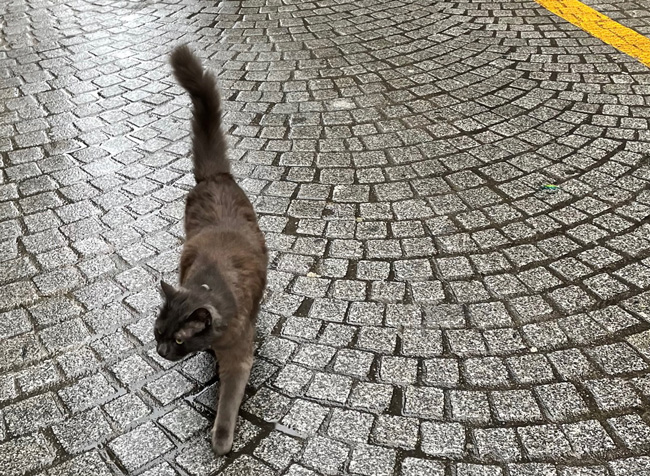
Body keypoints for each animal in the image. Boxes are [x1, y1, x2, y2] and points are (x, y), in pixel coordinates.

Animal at [153, 45, 268, 458]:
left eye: (179, 340)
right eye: (158, 332)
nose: (162, 352)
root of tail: (215, 176)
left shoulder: (238, 355)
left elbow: (229, 400)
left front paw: (221, 439)